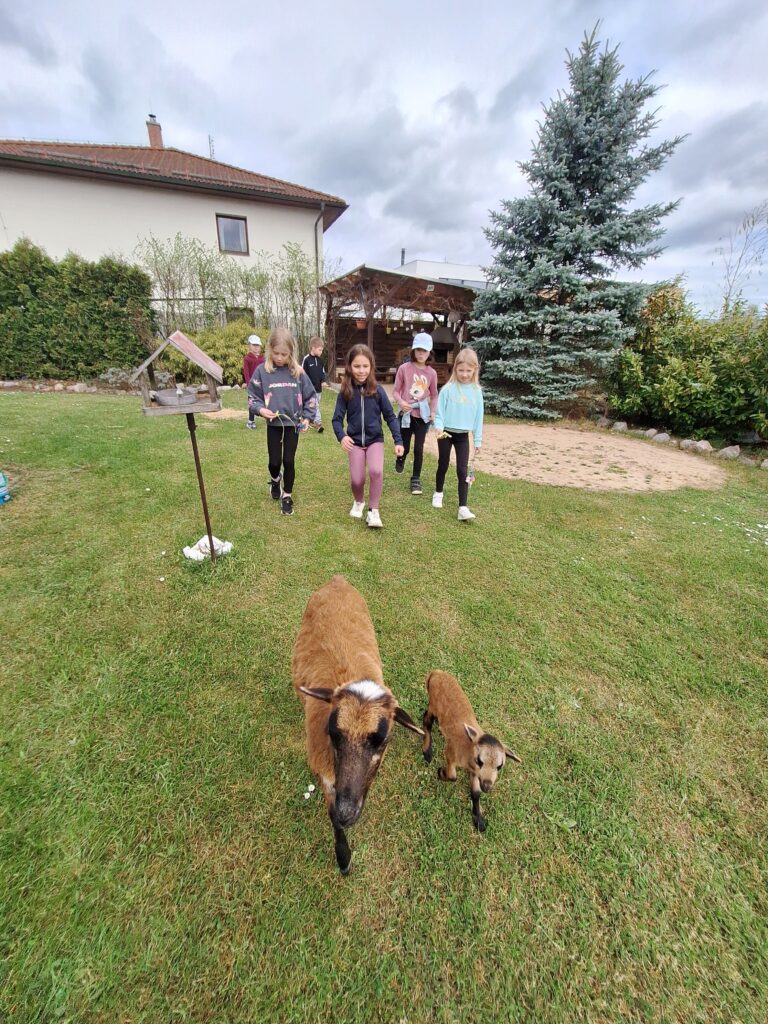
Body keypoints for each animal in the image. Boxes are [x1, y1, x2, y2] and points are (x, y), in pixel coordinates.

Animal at [291, 575, 423, 874]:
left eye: (383, 740)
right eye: (333, 733)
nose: (347, 813)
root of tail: (337, 579)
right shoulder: (324, 771)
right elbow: (331, 815)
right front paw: (343, 857)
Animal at [421, 669, 522, 832]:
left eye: (500, 766)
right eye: (479, 760)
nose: (487, 786)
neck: (468, 753)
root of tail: (436, 673)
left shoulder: (475, 773)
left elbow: (475, 793)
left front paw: (479, 821)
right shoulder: (451, 753)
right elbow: (452, 776)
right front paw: (441, 772)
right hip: (434, 704)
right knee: (427, 720)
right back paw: (427, 751)